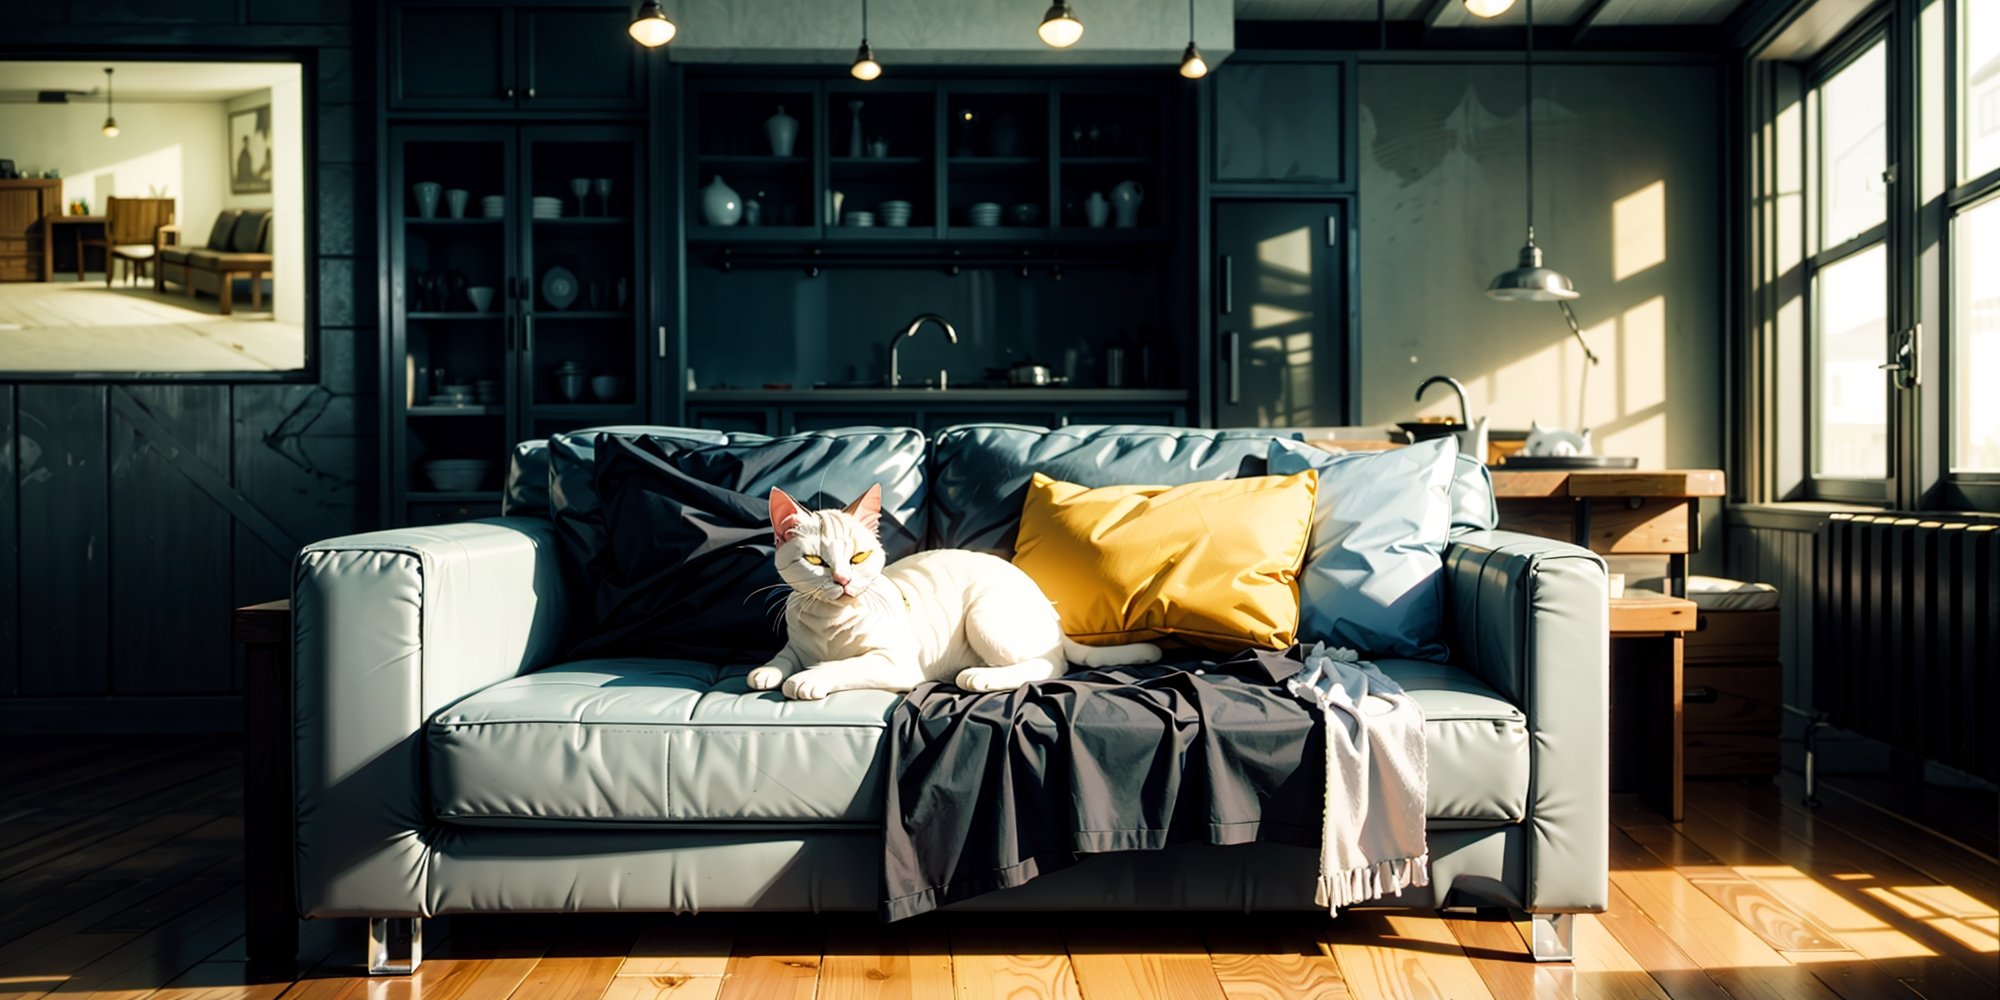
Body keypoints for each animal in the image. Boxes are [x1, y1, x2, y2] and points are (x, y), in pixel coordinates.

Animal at [748, 480, 1160, 700]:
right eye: (815, 560)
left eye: (859, 556)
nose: (843, 581)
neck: (829, 625)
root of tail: (1052, 614)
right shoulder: (796, 642)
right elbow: (785, 656)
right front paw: (767, 670)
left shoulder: (896, 663)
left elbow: (846, 664)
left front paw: (809, 677)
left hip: (984, 615)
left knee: (1052, 663)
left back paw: (979, 676)